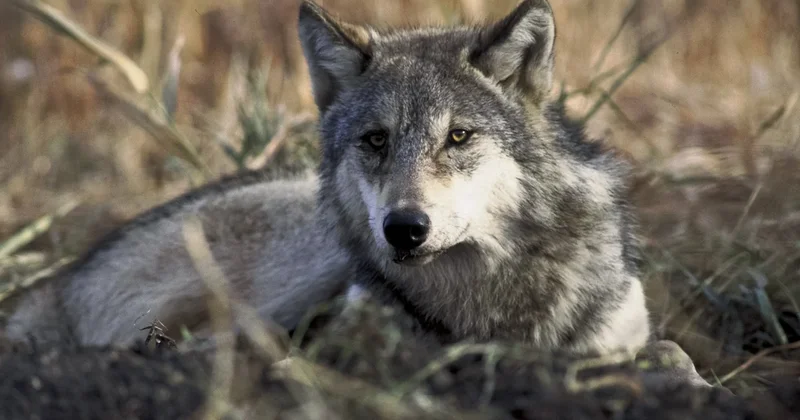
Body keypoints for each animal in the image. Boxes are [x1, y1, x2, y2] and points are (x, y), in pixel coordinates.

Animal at [5, 0, 651, 358]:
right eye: (375, 140)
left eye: (459, 137)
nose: (404, 229)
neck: (483, 303)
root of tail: (59, 282)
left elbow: (660, 353)